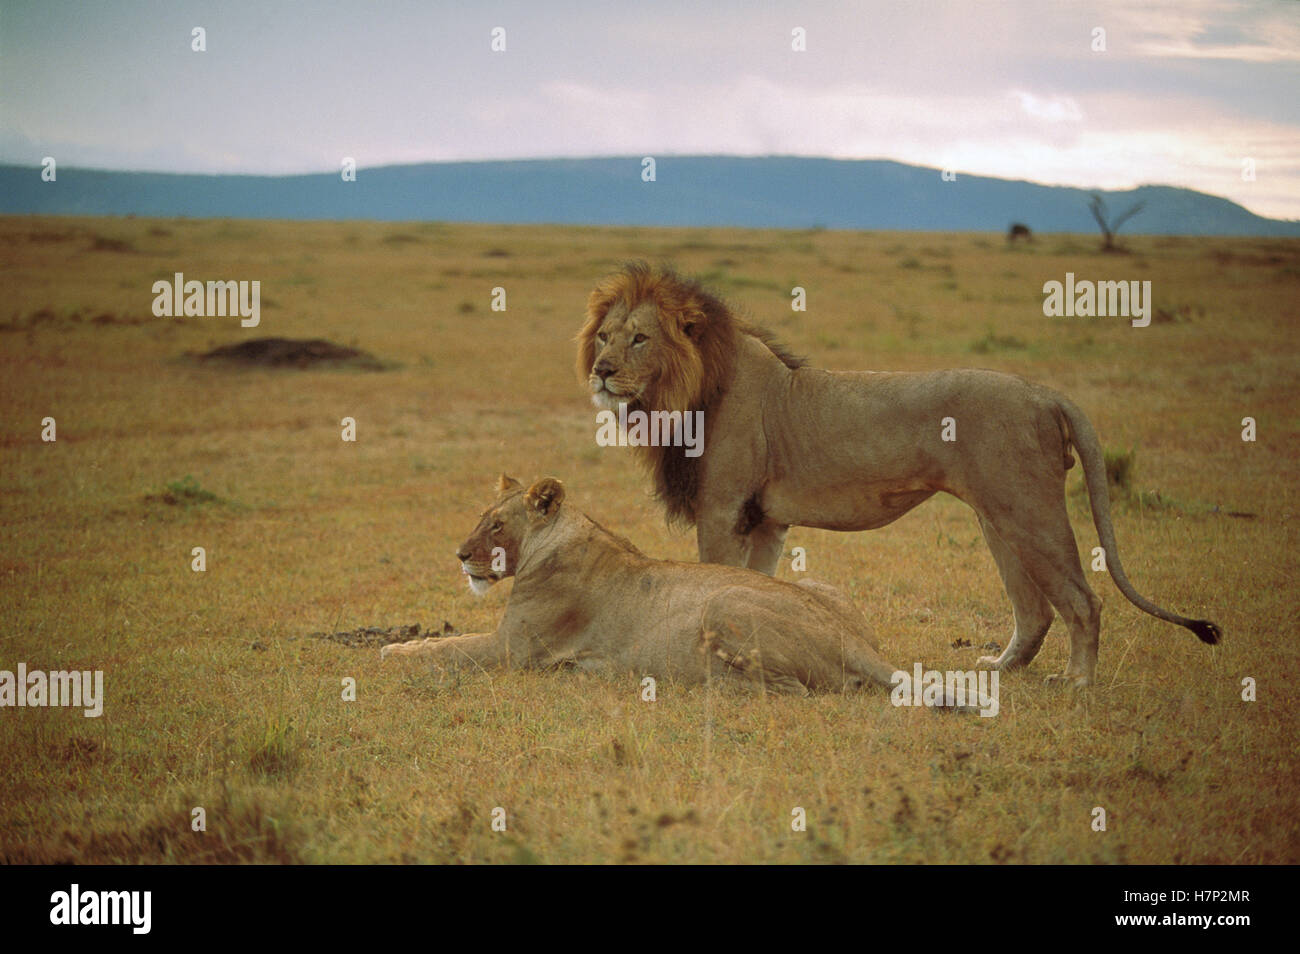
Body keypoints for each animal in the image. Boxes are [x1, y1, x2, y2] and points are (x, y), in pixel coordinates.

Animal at [380, 475, 961, 701]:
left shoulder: (513, 649)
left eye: (498, 525)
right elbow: (448, 642)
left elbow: (446, 650)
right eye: (483, 517)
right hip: (820, 586)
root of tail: (854, 640)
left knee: (791, 690)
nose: (460, 556)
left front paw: (392, 651)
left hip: (724, 602)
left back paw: (710, 685)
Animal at [575, 262, 1221, 687]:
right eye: (603, 336)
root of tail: (1043, 392)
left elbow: (716, 578)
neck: (684, 395)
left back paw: (1077, 682)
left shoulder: (724, 510)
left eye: (640, 338)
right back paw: (999, 670)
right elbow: (761, 583)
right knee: (1034, 610)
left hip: (1026, 510)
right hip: (997, 518)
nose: (601, 371)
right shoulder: (765, 522)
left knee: (1083, 601)